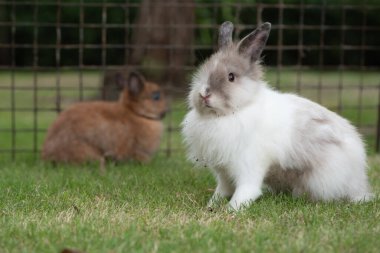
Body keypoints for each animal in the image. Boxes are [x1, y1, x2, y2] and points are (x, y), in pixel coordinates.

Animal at [182, 21, 374, 211]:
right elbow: (222, 190)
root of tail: (359, 181)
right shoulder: (223, 172)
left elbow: (247, 190)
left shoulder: (248, 164)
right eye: (204, 70)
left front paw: (231, 210)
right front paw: (211, 205)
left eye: (231, 77)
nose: (204, 94)